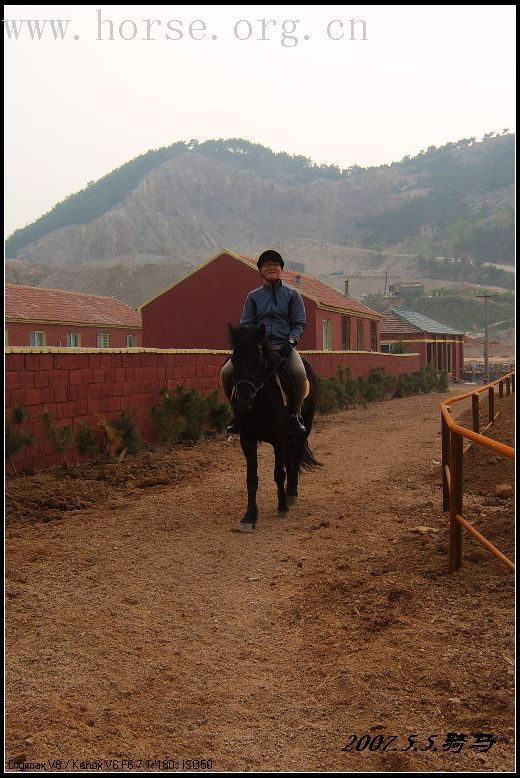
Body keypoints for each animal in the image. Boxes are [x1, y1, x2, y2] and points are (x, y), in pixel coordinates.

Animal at [229, 318, 320, 532]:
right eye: (235, 361)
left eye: (259, 363)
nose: (242, 402)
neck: (259, 404)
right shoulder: (247, 440)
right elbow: (251, 479)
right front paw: (249, 516)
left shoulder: (278, 438)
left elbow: (279, 473)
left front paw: (282, 508)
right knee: (289, 459)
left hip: (303, 429)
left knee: (295, 457)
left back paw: (292, 493)